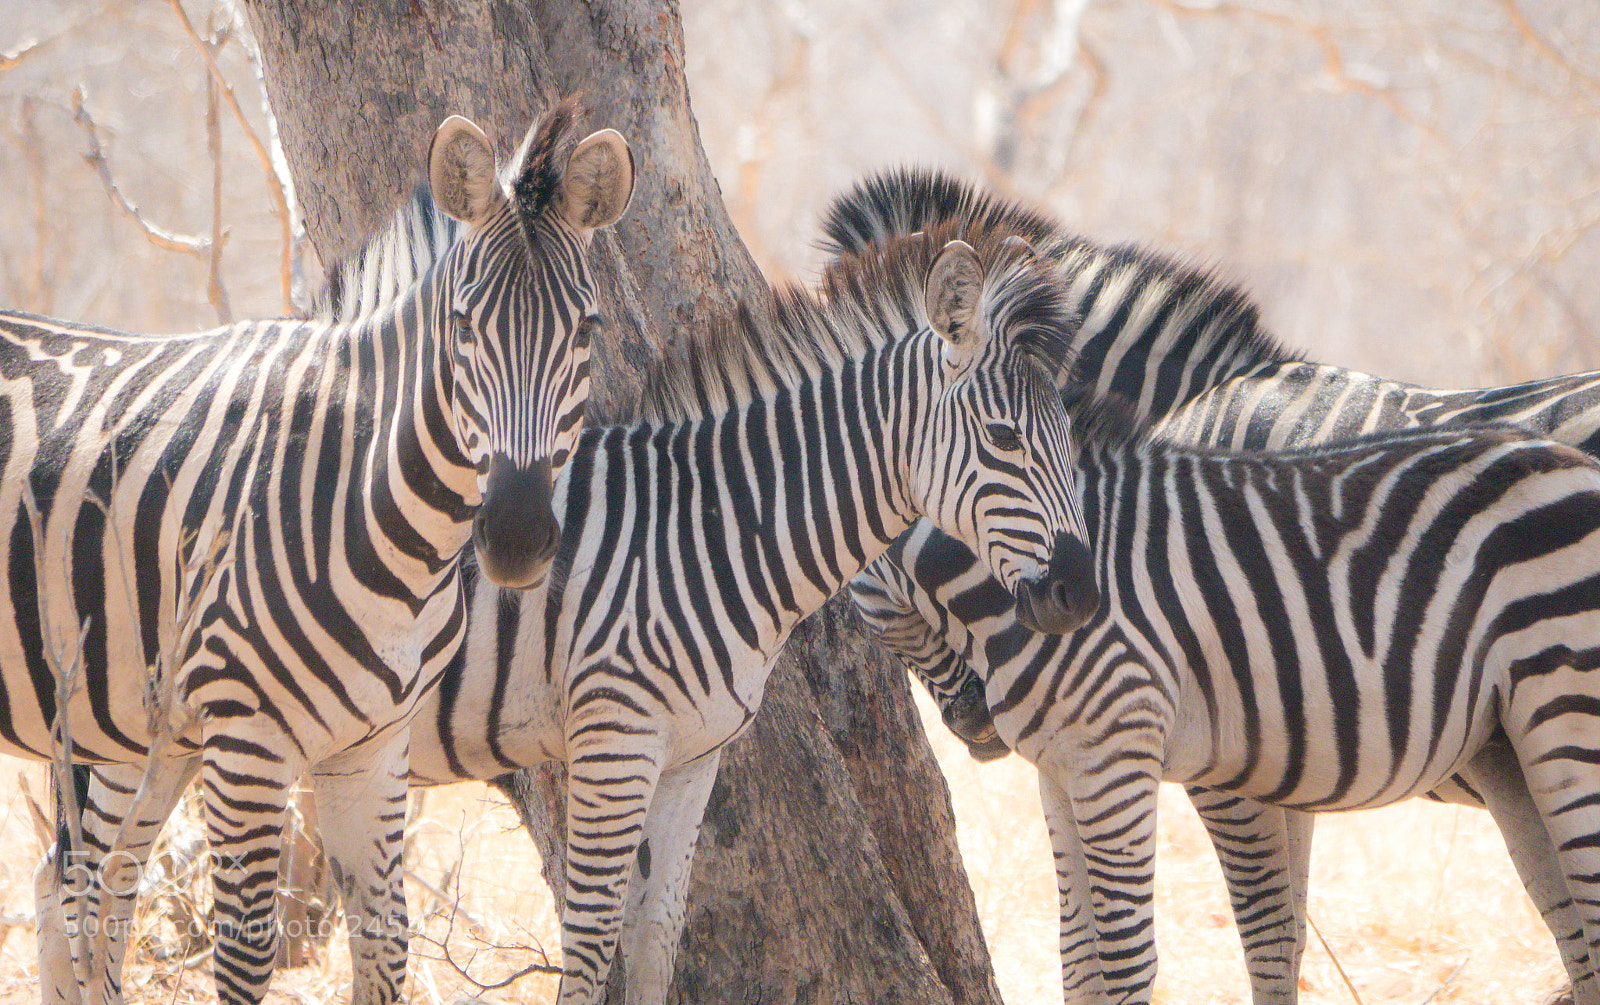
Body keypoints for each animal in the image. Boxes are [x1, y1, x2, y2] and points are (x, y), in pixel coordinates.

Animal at [14, 100, 635, 1005]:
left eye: (585, 329)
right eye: (462, 325)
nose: (517, 536)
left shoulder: (369, 750)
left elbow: (385, 942)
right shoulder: (246, 743)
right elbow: (246, 952)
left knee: (94, 893)